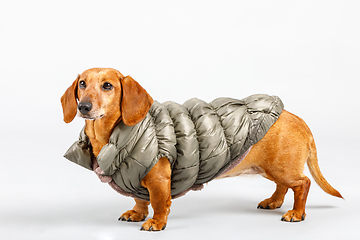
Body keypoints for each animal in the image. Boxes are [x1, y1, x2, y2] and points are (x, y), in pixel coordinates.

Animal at [62, 67, 344, 231]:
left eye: (108, 85)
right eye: (82, 84)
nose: (84, 107)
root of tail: (298, 119)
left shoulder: (158, 179)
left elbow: (159, 202)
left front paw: (156, 223)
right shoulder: (134, 177)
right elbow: (140, 199)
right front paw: (137, 214)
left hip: (282, 167)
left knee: (302, 184)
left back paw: (296, 214)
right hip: (271, 168)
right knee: (284, 186)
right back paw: (273, 202)